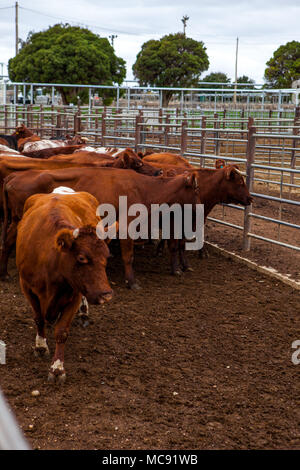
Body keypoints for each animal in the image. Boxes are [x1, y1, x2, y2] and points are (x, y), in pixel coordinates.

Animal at [16, 190, 115, 382]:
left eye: (107, 257)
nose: (106, 295)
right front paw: (40, 346)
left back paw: (83, 312)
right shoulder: (27, 287)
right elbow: (38, 318)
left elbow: (62, 332)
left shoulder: (74, 293)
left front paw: (57, 368)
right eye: (82, 258)